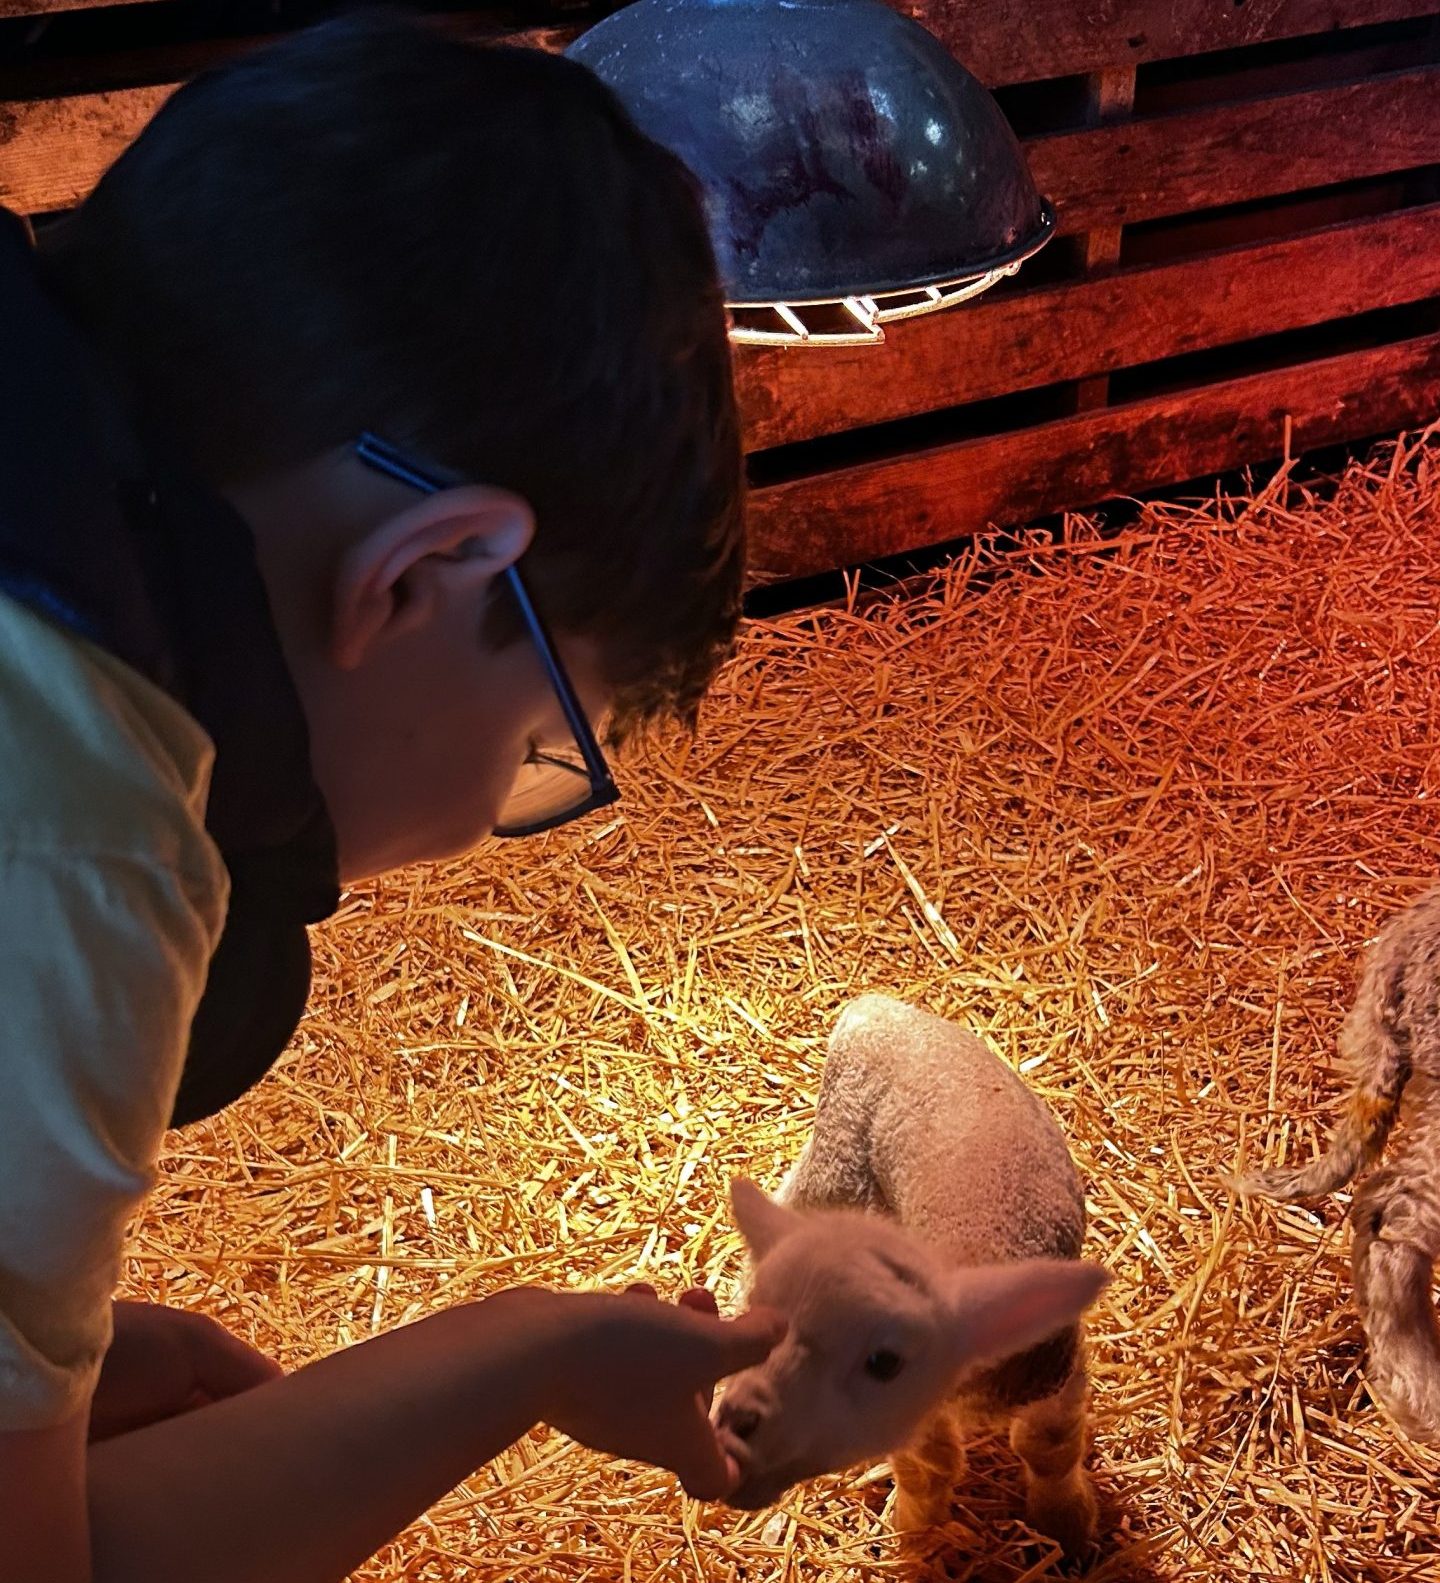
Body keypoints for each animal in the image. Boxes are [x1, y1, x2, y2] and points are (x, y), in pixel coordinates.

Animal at [712, 993, 1109, 1558]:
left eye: (882, 1361)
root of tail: (871, 1008)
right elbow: (930, 1466)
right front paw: (915, 1529)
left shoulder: (1056, 1370)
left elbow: (1048, 1448)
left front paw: (1067, 1526)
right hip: (840, 1155)